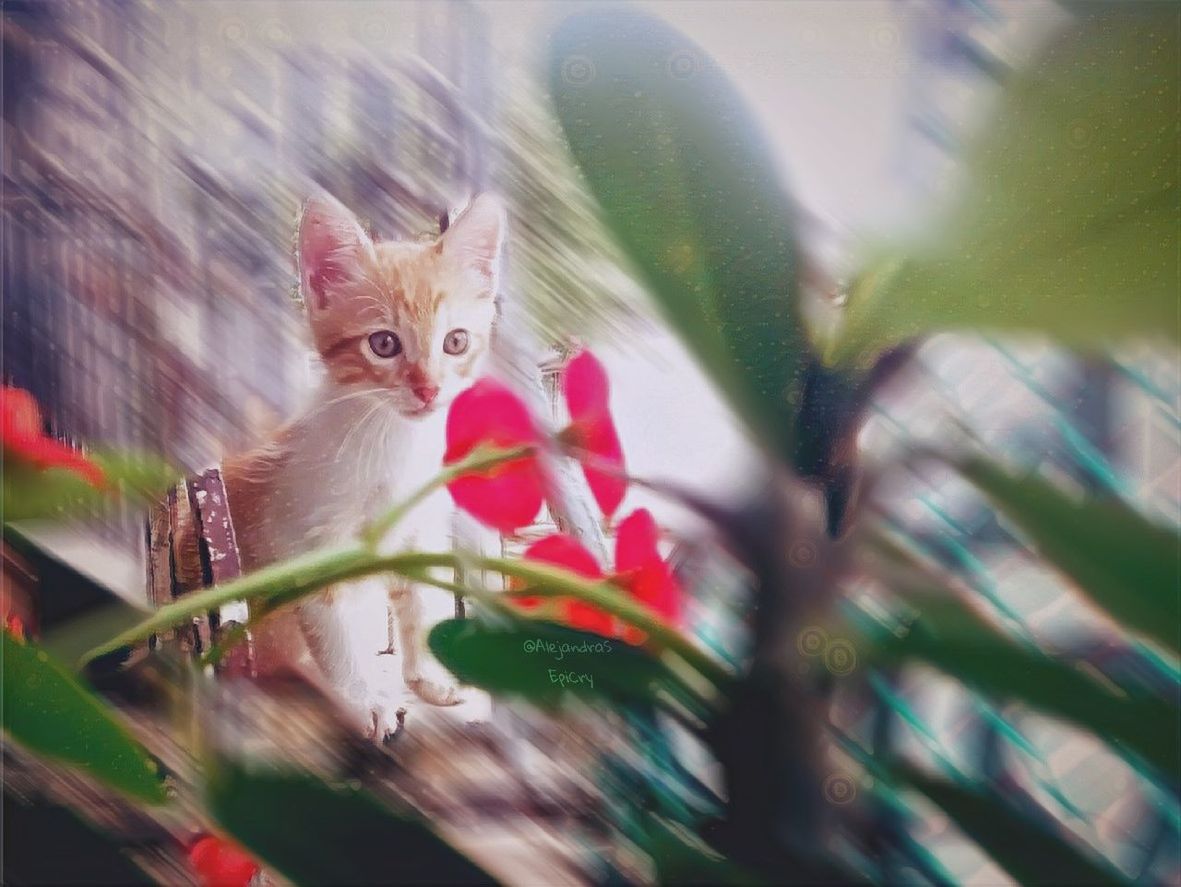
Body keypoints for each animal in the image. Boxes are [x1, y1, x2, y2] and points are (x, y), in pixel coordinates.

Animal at [175, 196, 503, 741]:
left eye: (456, 342)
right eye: (384, 344)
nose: (429, 389)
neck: (394, 443)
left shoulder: (419, 533)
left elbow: (419, 604)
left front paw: (429, 678)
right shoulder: (304, 544)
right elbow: (336, 633)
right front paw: (366, 698)